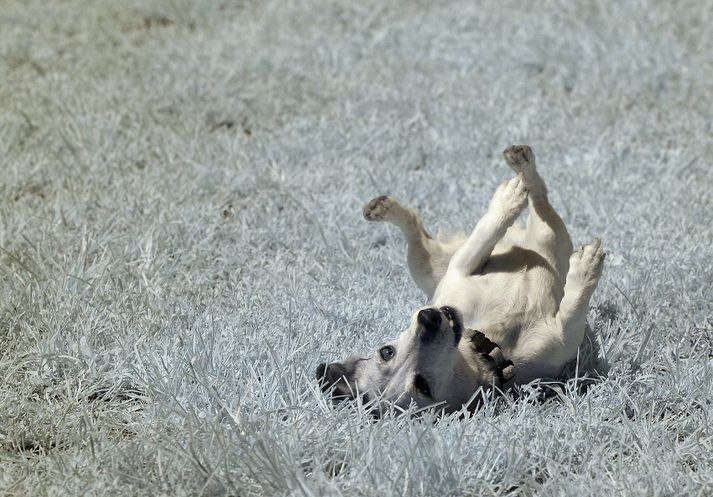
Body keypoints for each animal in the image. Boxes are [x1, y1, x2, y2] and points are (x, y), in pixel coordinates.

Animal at [316, 145, 600, 412]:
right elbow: (574, 304)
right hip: (544, 239)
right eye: (422, 386)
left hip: (432, 263)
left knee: (418, 227)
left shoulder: (461, 267)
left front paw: (507, 200)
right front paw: (587, 266)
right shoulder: (564, 334)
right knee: (540, 201)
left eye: (386, 351)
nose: (427, 319)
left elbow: (488, 229)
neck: (491, 344)